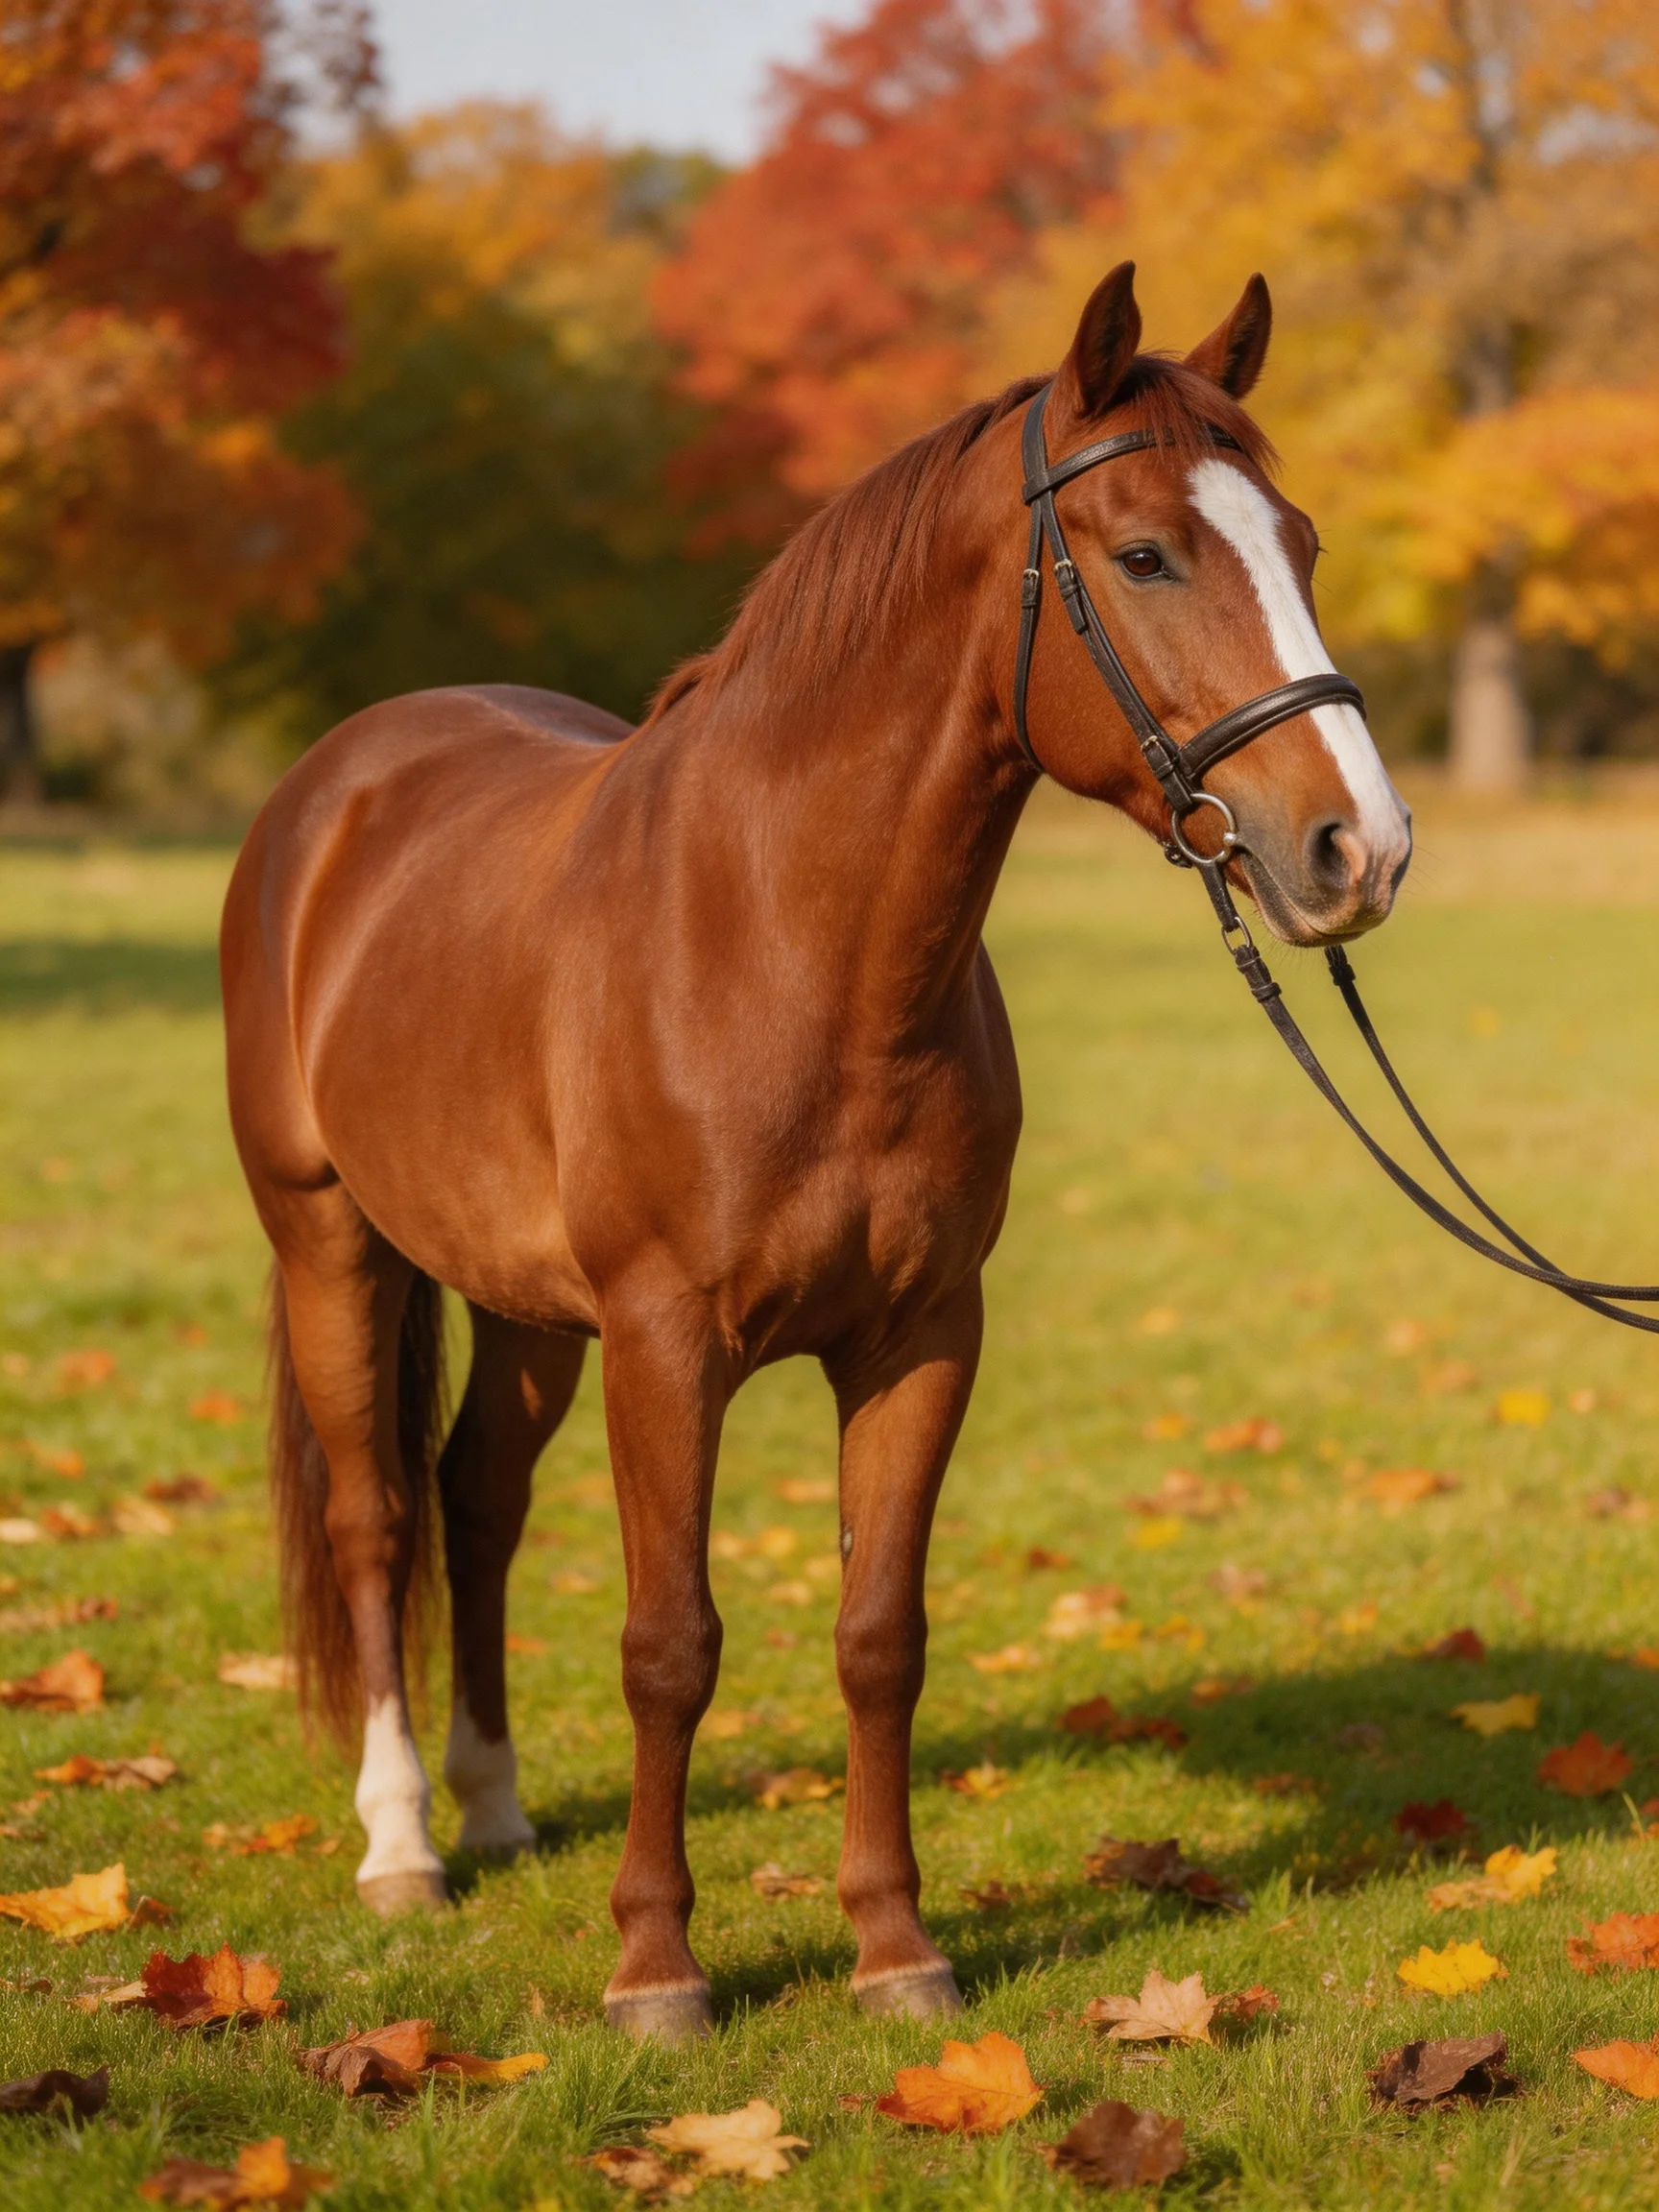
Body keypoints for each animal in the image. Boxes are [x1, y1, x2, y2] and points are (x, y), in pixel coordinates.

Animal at [220, 261, 1412, 2042]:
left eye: (1306, 542)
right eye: (1144, 554)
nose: (1358, 847)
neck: (790, 941)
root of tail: (337, 783)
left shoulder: (918, 1337)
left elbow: (877, 1634)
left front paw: (895, 1947)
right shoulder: (664, 1343)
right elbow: (669, 1642)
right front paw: (656, 1968)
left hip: (521, 1303)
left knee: (477, 1497)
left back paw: (495, 1807)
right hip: (331, 1245)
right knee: (377, 1517)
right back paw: (403, 1844)